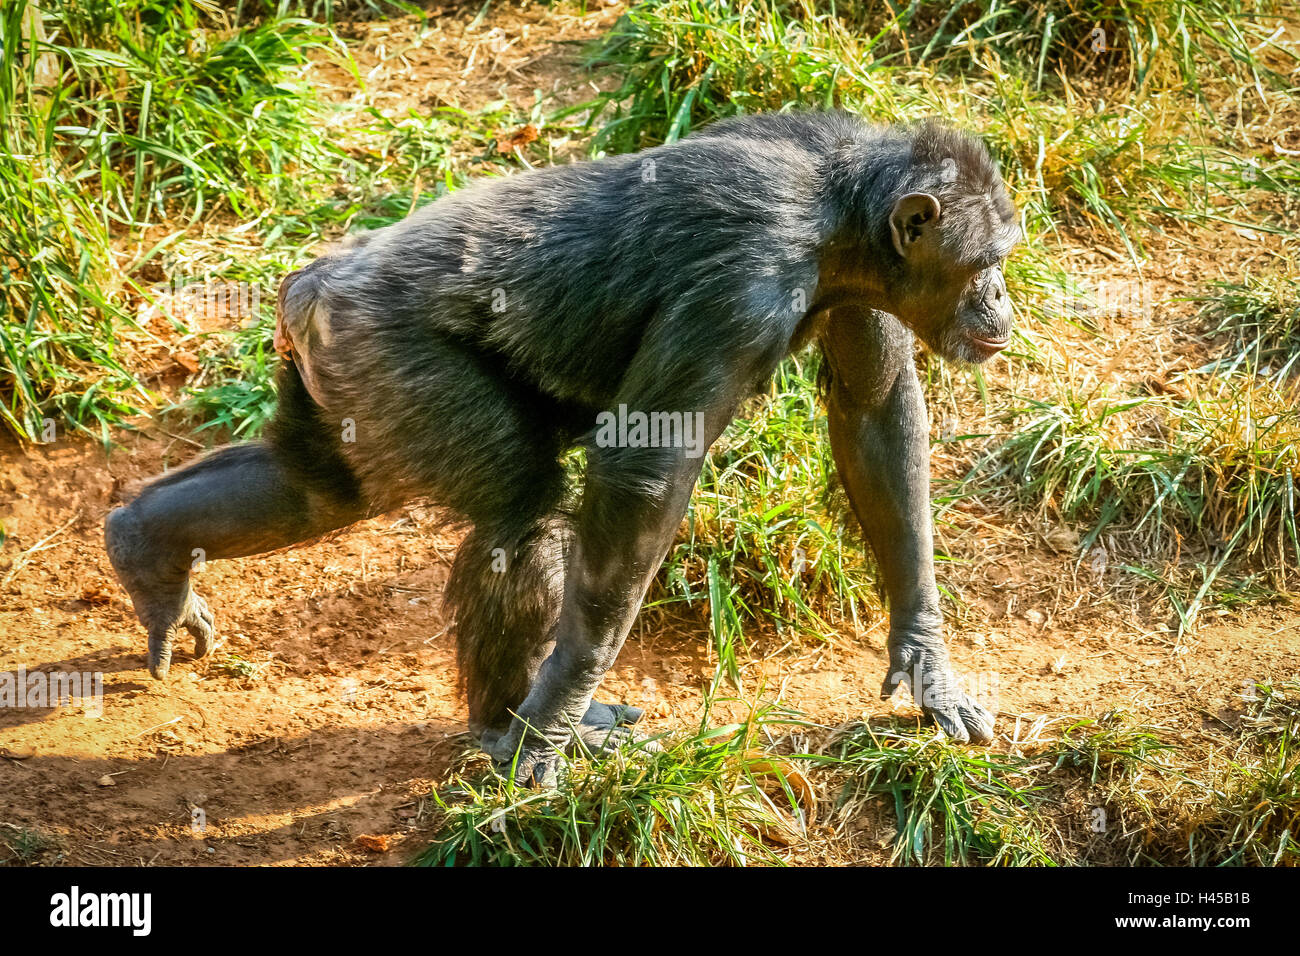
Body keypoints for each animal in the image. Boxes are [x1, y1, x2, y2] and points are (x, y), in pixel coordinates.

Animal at [106, 110, 1019, 785]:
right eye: (987, 261)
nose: (1004, 298)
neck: (835, 216)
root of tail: (307, 289)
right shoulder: (743, 284)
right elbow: (645, 475)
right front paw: (556, 714)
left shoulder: (861, 290)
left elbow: (874, 412)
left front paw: (927, 660)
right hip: (397, 363)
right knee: (525, 515)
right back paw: (513, 726)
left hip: (343, 389)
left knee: (313, 489)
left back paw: (149, 550)